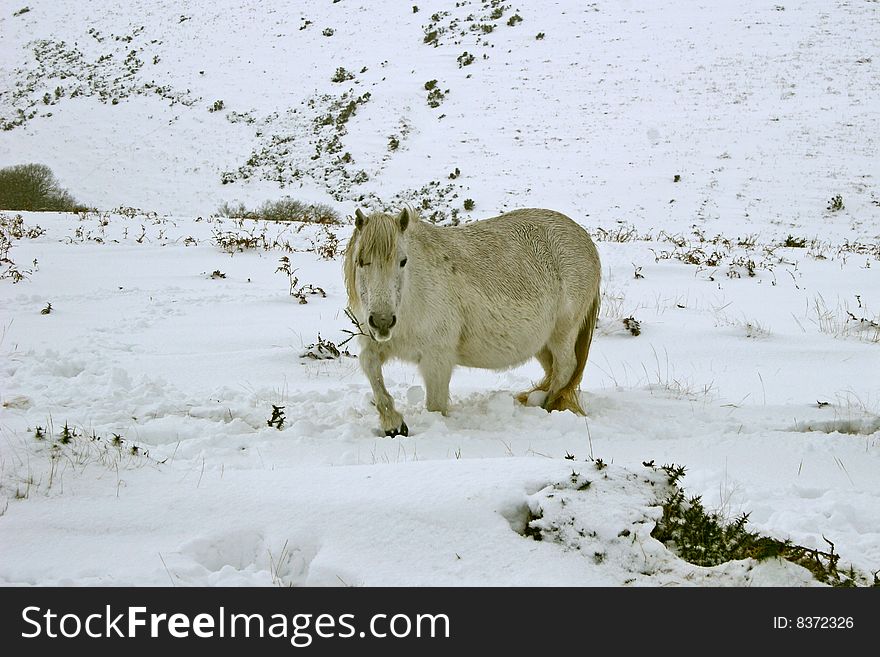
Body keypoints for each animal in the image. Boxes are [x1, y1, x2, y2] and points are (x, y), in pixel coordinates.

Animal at [342, 208, 600, 436]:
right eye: (360, 261)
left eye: (403, 261)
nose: (383, 321)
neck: (413, 294)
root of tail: (585, 240)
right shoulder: (378, 344)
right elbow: (370, 366)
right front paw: (393, 425)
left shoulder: (437, 359)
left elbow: (436, 406)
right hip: (542, 344)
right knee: (554, 369)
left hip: (563, 333)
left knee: (565, 368)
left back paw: (548, 405)